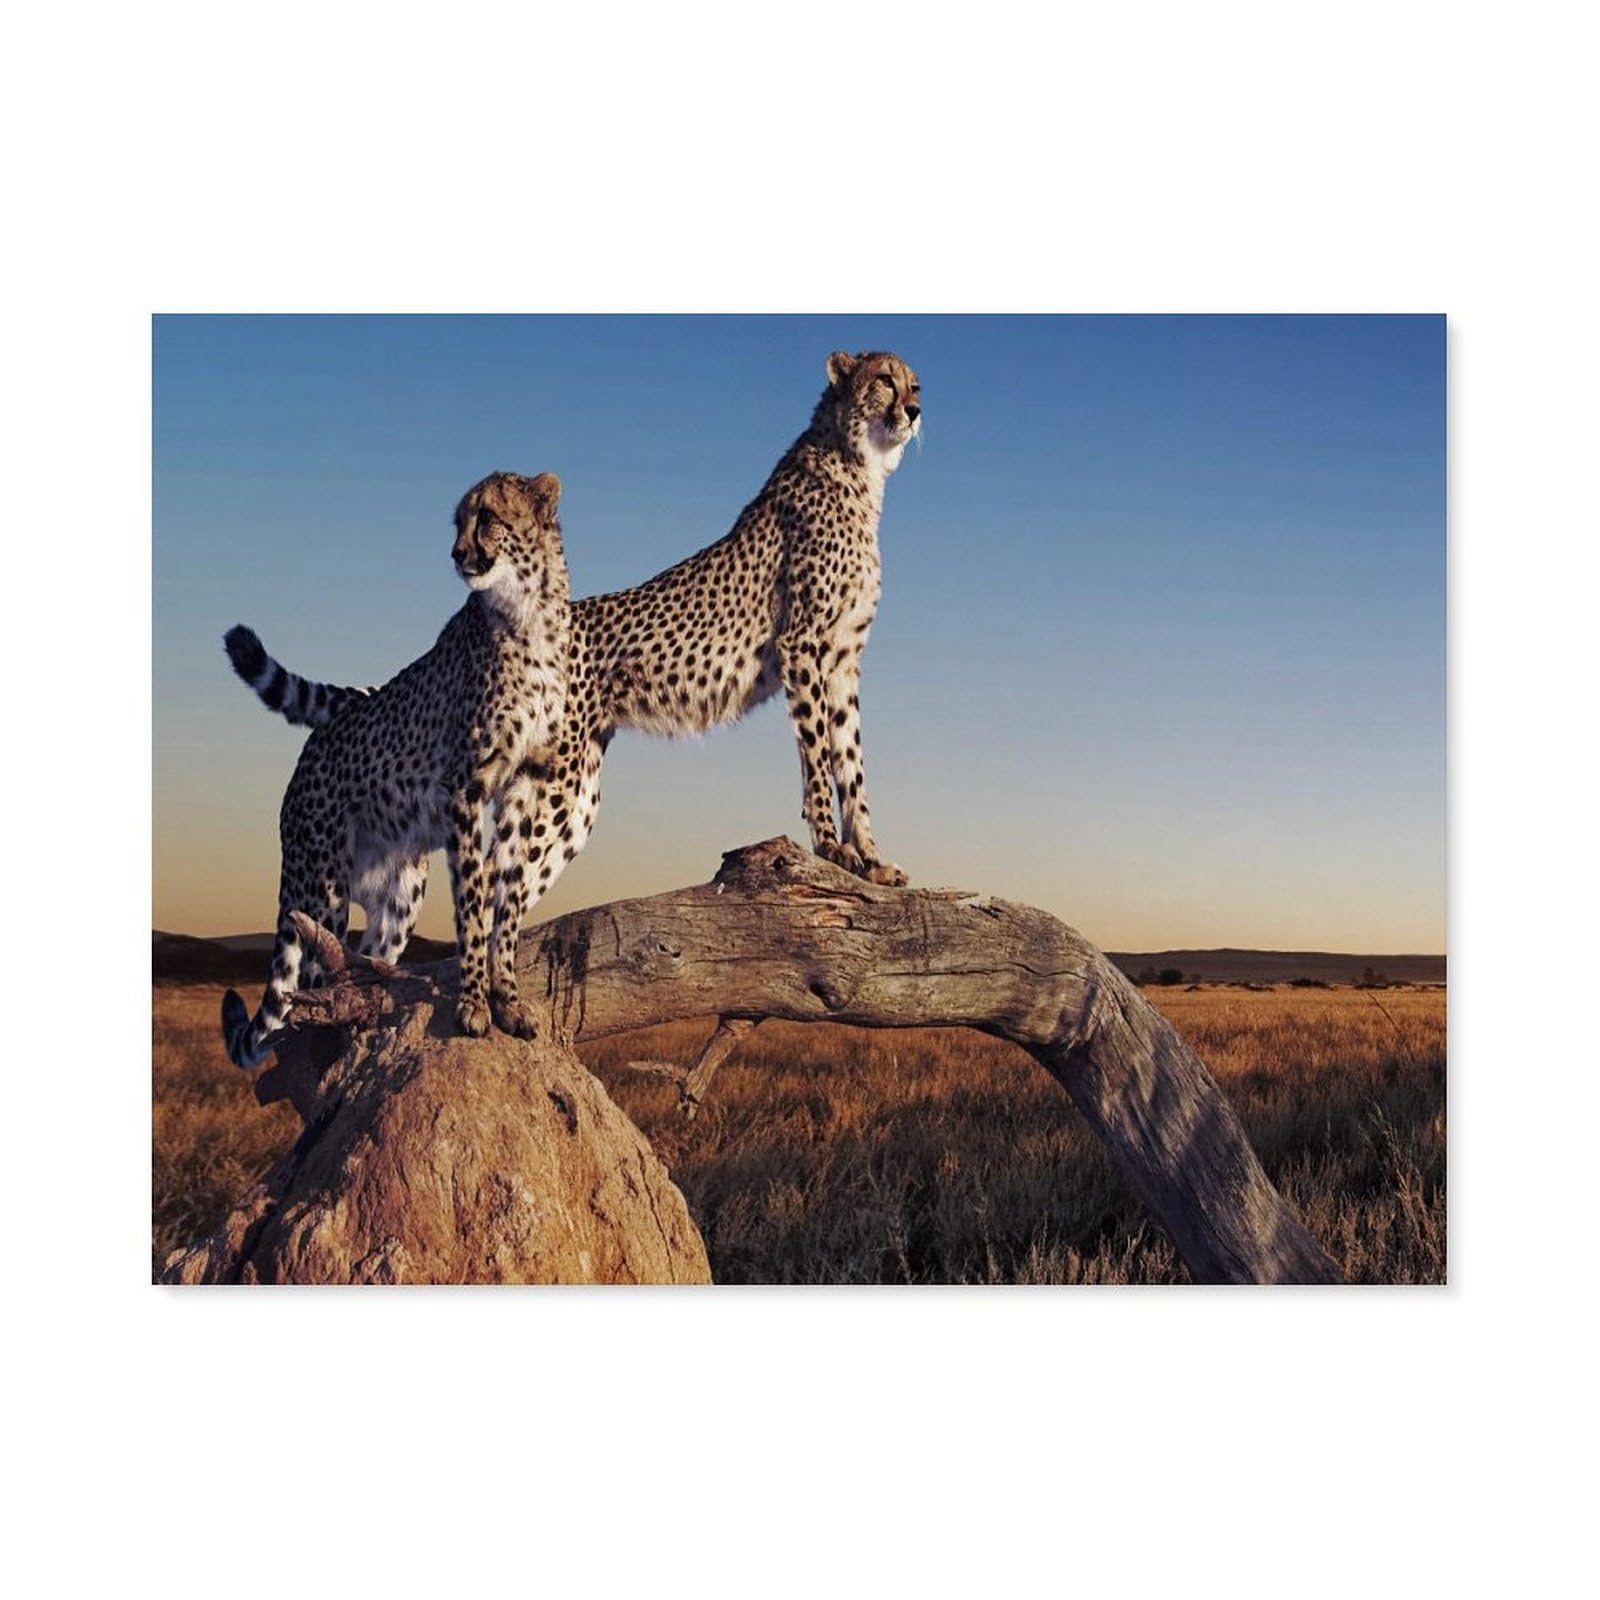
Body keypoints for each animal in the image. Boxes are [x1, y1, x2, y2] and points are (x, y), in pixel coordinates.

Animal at [219, 469, 570, 1068]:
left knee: (370, 951)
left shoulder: (525, 785)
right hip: (322, 883)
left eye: (487, 517)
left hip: (401, 891)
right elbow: (473, 903)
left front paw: (508, 999)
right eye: (458, 521)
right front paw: (473, 1004)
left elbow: (508, 901)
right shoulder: (464, 787)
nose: (456, 554)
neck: (529, 609)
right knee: (312, 977)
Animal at [225, 348, 920, 968]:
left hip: (564, 799)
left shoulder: (843, 662)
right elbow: (819, 760)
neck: (857, 467)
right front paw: (832, 849)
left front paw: (872, 859)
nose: (915, 409)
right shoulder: (804, 648)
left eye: (914, 382)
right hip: (548, 789)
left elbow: (852, 763)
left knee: (496, 883)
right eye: (884, 380)